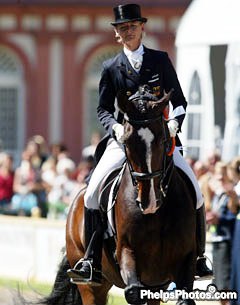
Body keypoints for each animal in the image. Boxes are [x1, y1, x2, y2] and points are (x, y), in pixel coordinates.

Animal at [16, 86, 197, 304]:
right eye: (127, 142)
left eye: (163, 140)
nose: (149, 201)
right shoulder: (127, 252)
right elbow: (133, 292)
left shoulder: (184, 261)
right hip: (92, 286)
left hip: (154, 284)